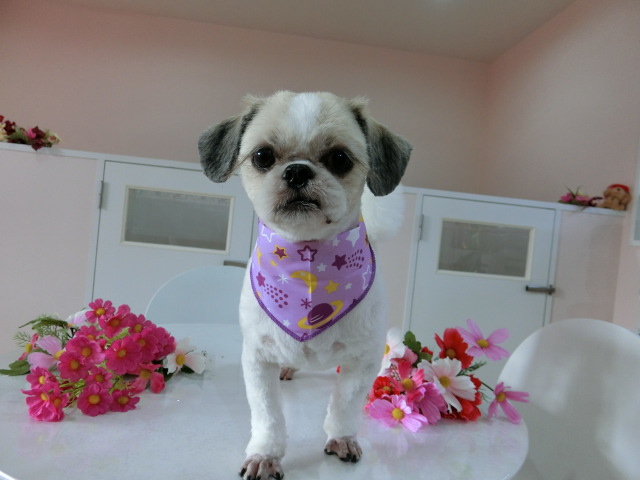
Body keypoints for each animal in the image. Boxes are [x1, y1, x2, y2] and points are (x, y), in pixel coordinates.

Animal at [199, 91, 412, 480]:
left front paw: (342, 437)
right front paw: (265, 454)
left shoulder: (362, 361)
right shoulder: (258, 358)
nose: (297, 170)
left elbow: (345, 404)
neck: (308, 262)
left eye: (339, 158)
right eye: (262, 156)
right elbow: (267, 415)